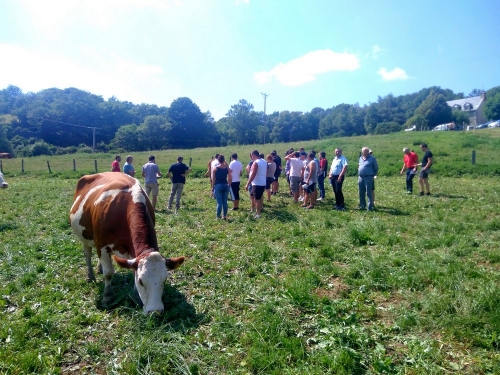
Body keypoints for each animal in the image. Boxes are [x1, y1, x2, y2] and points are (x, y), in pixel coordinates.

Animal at [70, 173, 186, 314]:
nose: (155, 311)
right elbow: (109, 273)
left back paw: (99, 268)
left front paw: (135, 295)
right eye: (141, 281)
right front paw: (107, 297)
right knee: (87, 254)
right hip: (84, 236)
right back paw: (90, 276)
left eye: (164, 279)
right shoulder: (101, 245)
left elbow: (132, 269)